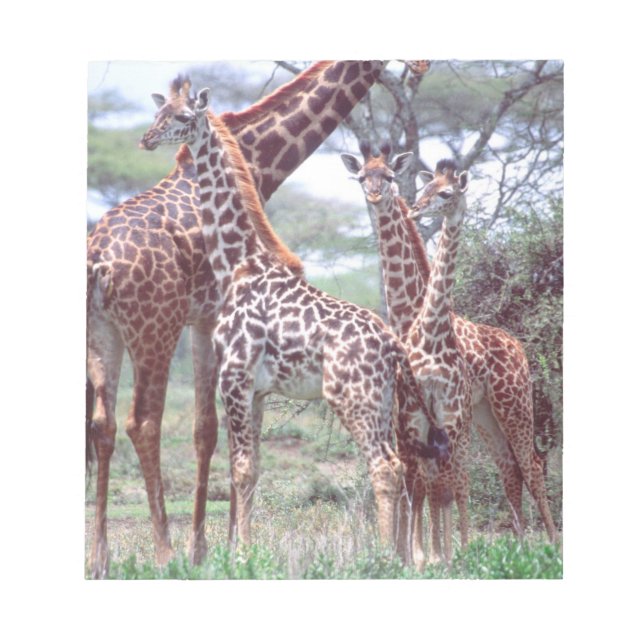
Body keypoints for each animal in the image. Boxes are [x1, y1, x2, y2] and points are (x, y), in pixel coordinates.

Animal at [87, 60, 429, 578]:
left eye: (182, 115)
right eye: (161, 112)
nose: (147, 138)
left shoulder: (229, 361)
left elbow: (226, 451)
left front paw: (228, 551)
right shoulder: (238, 365)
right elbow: (239, 459)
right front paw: (226, 550)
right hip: (144, 330)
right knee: (127, 424)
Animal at [341, 144, 556, 566]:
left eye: (388, 176)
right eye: (361, 177)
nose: (415, 206)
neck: (413, 318)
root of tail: (518, 347)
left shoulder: (446, 417)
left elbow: (443, 483)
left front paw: (437, 554)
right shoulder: (408, 417)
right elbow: (418, 482)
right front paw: (412, 555)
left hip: (513, 405)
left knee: (529, 465)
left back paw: (549, 547)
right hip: (486, 416)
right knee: (508, 470)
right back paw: (520, 547)